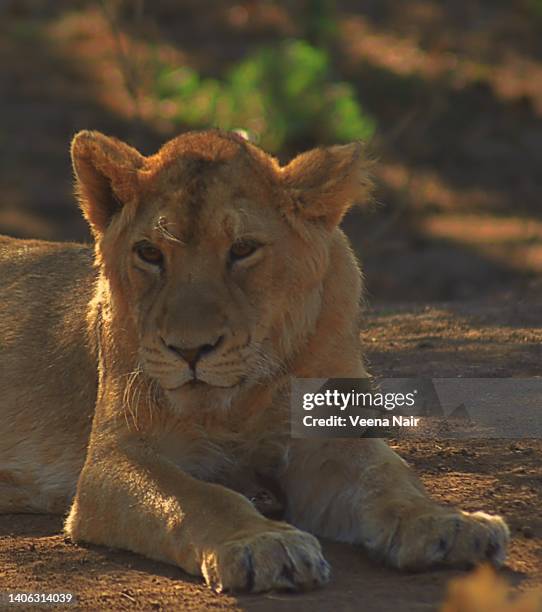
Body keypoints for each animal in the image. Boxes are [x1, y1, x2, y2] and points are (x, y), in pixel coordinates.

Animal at [0, 130, 510, 592]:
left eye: (242, 249)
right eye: (149, 253)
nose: (189, 350)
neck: (238, 402)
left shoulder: (324, 438)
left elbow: (385, 475)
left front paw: (447, 523)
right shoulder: (114, 457)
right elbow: (199, 496)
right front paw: (263, 544)